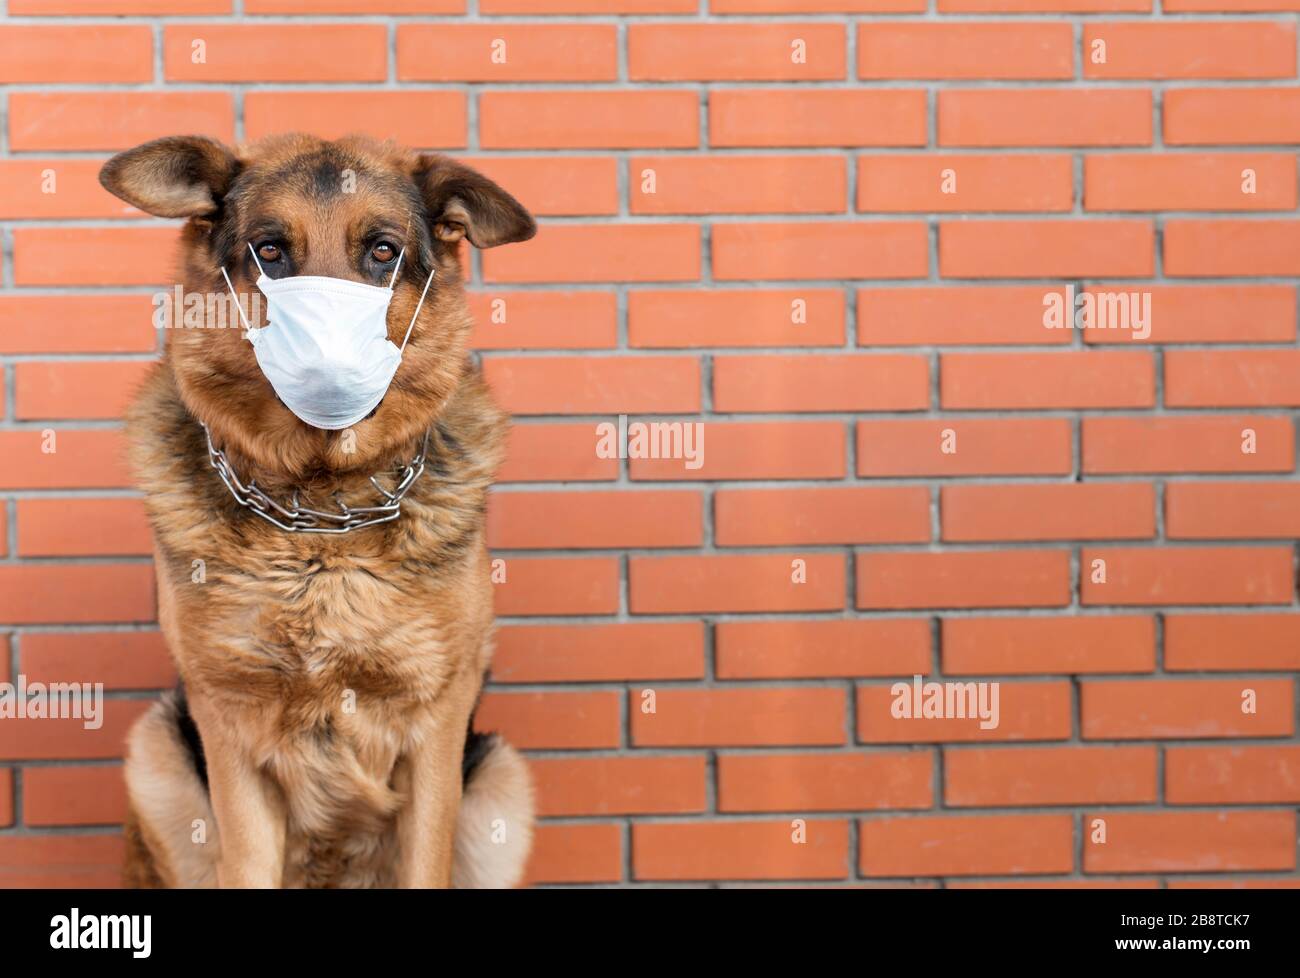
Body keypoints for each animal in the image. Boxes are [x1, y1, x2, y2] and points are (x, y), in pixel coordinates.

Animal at [98, 132, 538, 884]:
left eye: (383, 251)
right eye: (270, 250)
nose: (325, 370)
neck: (320, 514)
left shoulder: (436, 736)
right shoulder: (232, 733)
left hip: (499, 783)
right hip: (159, 757)